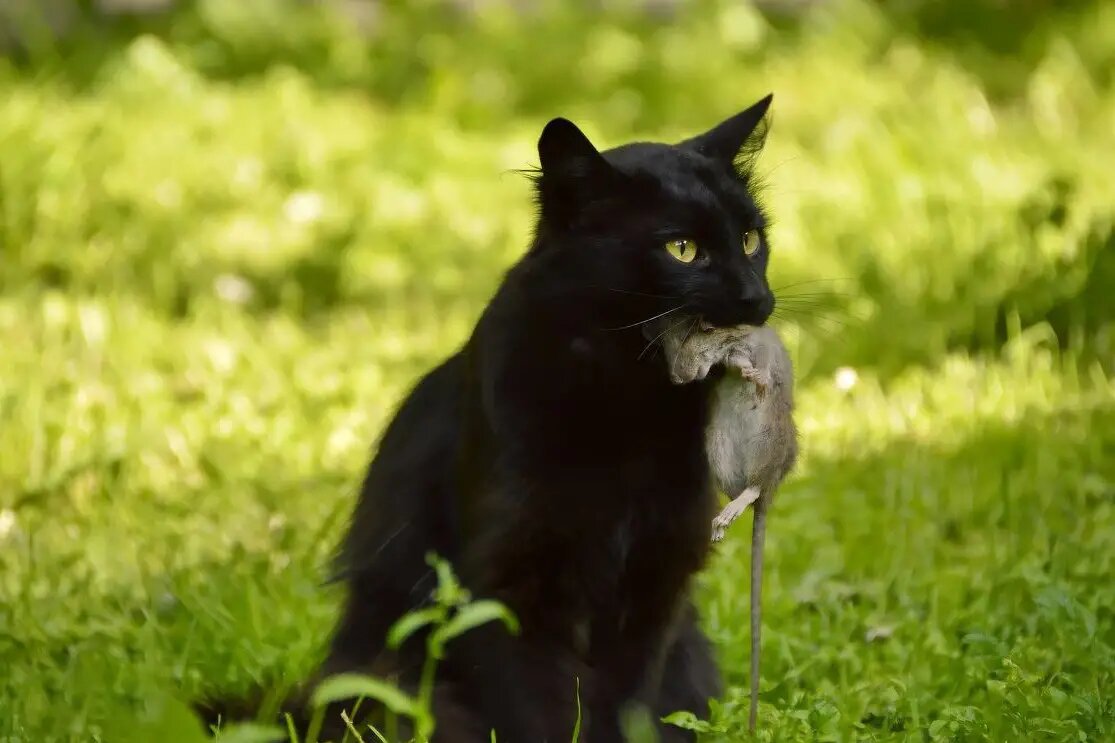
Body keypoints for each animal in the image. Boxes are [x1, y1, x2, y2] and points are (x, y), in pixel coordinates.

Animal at [200, 95, 776, 736]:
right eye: (683, 250)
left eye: (751, 238)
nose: (757, 298)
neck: (628, 407)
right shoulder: (509, 588)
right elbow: (538, 713)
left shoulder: (655, 582)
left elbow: (625, 707)